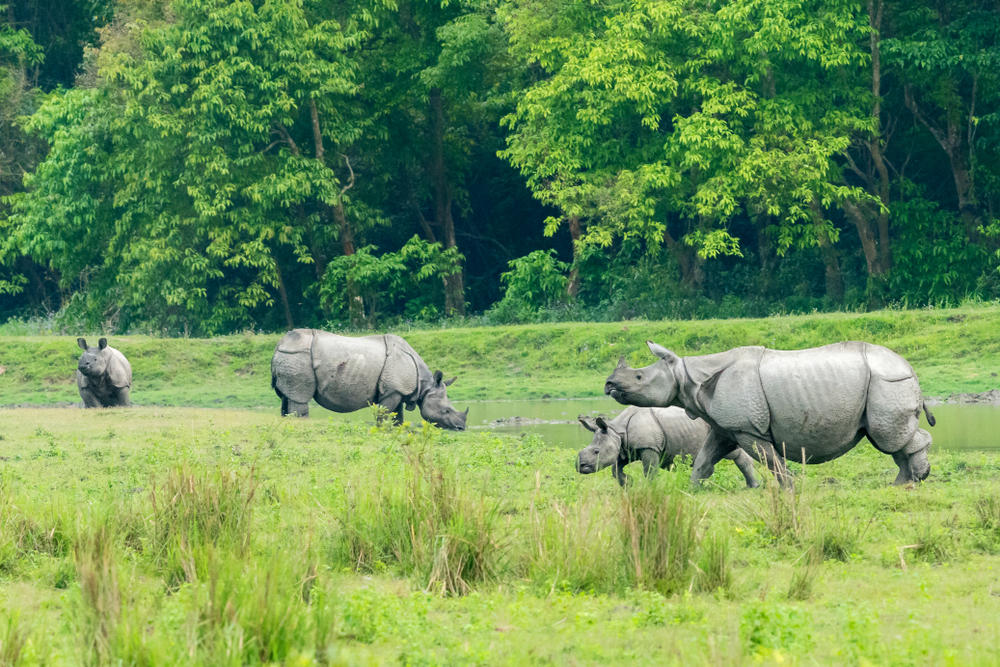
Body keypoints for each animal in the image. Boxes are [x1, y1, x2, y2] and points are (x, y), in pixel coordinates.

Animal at [272, 330, 470, 434]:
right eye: (446, 410)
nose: (461, 428)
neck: (425, 385)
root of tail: (278, 345)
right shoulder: (392, 390)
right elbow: (385, 412)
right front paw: (382, 429)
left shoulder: (397, 389)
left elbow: (397, 415)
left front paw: (396, 429)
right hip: (298, 356)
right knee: (299, 397)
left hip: (291, 357)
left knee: (287, 397)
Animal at [580, 404, 756, 488]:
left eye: (596, 451)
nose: (580, 466)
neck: (617, 431)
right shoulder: (627, 449)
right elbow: (616, 468)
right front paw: (628, 484)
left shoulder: (649, 447)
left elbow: (649, 470)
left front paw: (650, 488)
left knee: (731, 452)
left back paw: (752, 487)